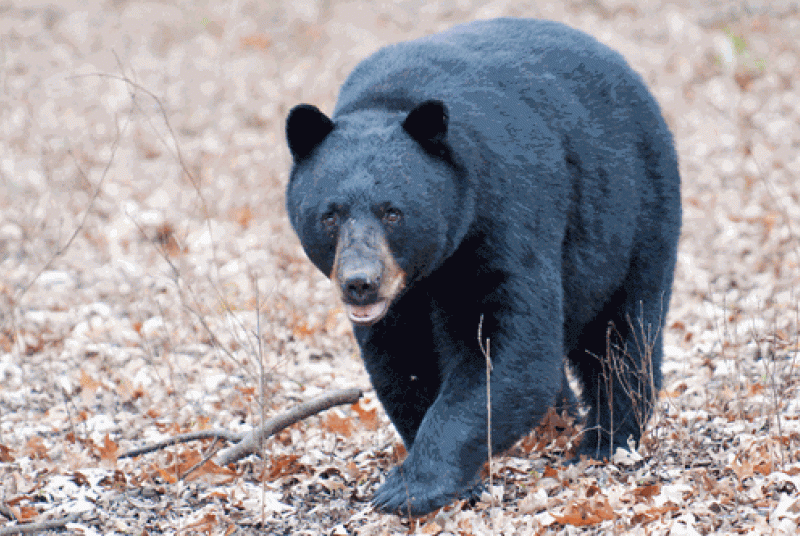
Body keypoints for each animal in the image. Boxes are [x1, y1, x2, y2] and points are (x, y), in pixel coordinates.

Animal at [285, 18, 681, 516]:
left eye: (393, 212)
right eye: (330, 215)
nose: (361, 283)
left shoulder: (501, 216)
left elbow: (505, 347)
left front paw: (411, 486)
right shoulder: (401, 301)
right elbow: (403, 361)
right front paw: (455, 480)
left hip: (634, 215)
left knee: (622, 336)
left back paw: (605, 442)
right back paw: (560, 424)